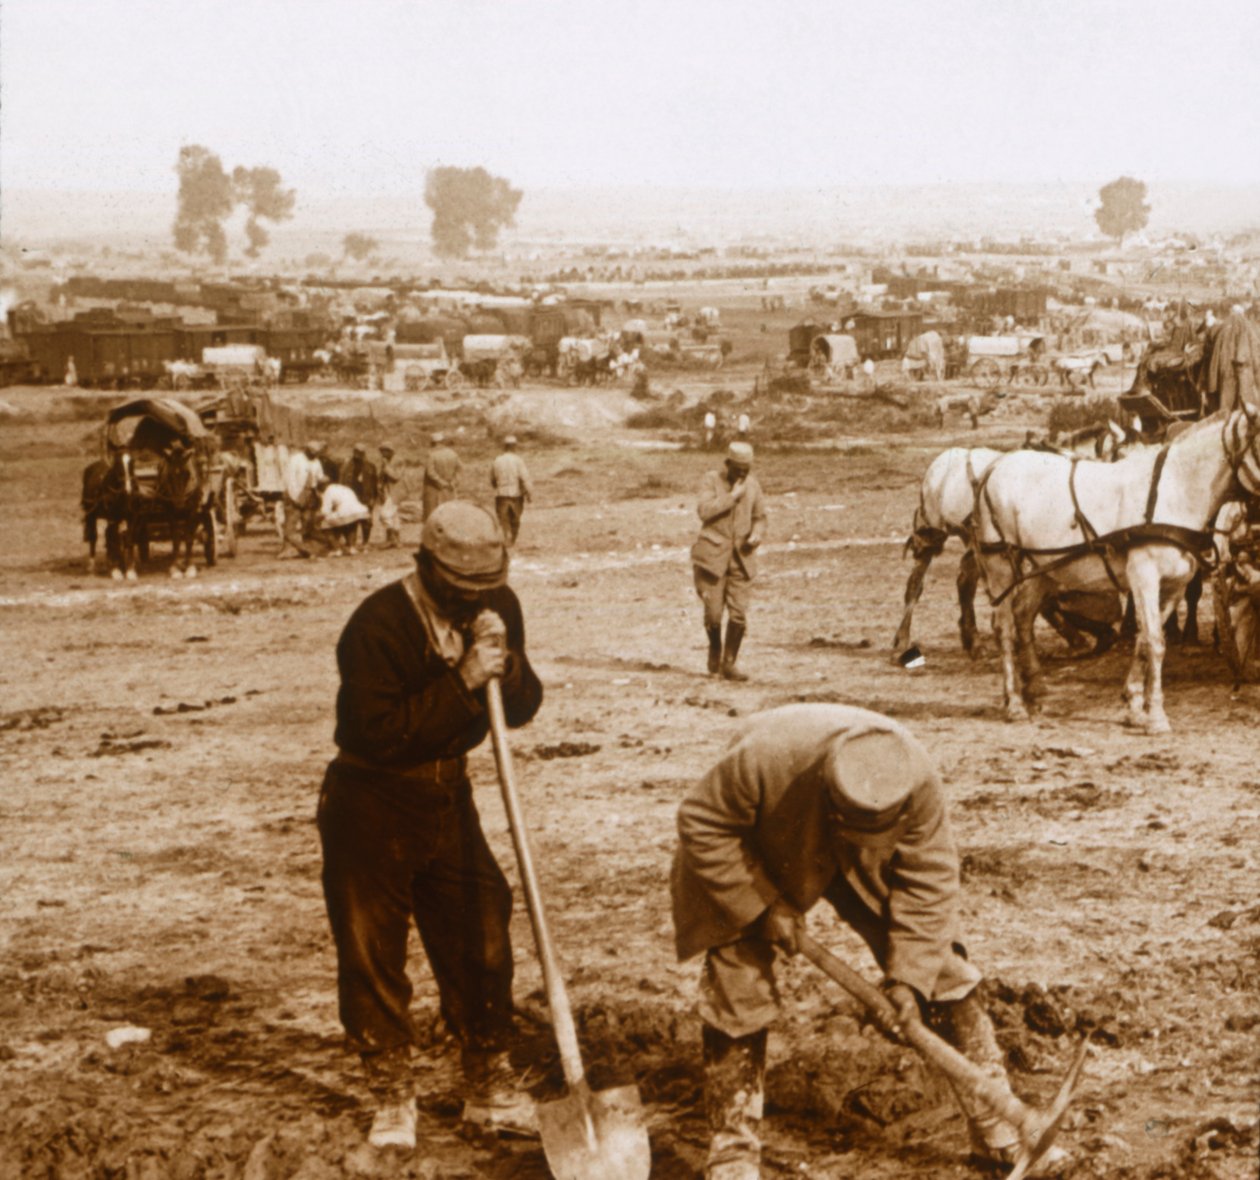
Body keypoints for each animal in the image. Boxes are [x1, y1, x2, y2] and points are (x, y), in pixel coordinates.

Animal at [967, 410, 1254, 730]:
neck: (1172, 492)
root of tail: (995, 466)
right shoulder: (1144, 577)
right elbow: (1154, 642)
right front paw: (1155, 715)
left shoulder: (1174, 586)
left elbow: (1145, 639)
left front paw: (1133, 705)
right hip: (1001, 566)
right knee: (1004, 628)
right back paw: (1015, 703)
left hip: (1045, 568)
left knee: (1023, 615)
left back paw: (1036, 691)